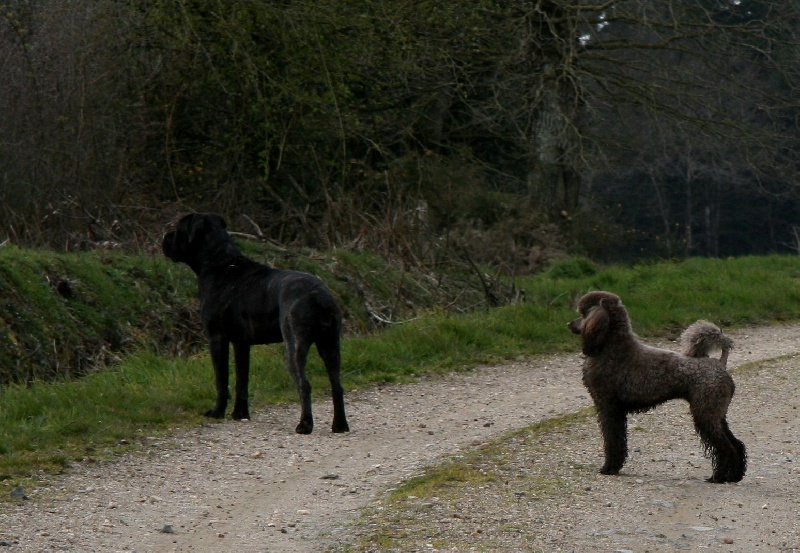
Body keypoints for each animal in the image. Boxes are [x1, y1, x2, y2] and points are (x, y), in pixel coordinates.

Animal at [162, 213, 350, 434]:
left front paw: (217, 412)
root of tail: (319, 296)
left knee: (304, 384)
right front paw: (240, 414)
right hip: (330, 345)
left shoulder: (217, 339)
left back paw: (304, 425)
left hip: (294, 346)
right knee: (337, 385)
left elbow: (221, 381)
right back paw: (340, 425)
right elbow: (242, 381)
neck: (219, 262)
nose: (164, 237)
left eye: (178, 228)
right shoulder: (241, 344)